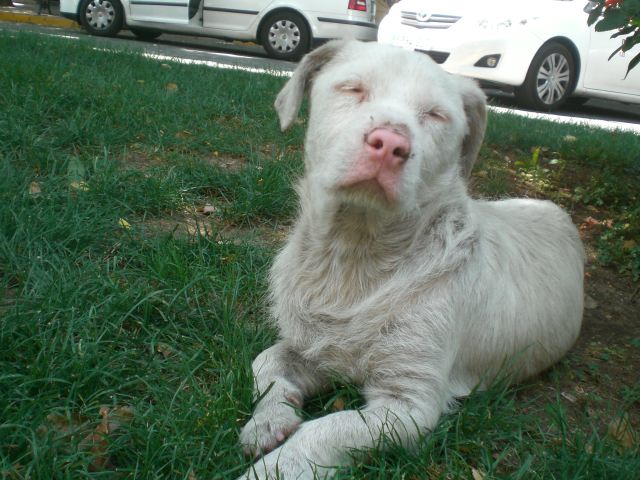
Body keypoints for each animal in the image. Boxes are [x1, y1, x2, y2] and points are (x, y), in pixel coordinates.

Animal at [238, 41, 584, 480]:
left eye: (436, 115)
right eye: (353, 88)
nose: (390, 143)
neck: (355, 254)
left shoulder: (409, 405)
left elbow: (327, 429)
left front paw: (275, 468)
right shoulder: (313, 346)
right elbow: (265, 361)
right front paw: (268, 421)